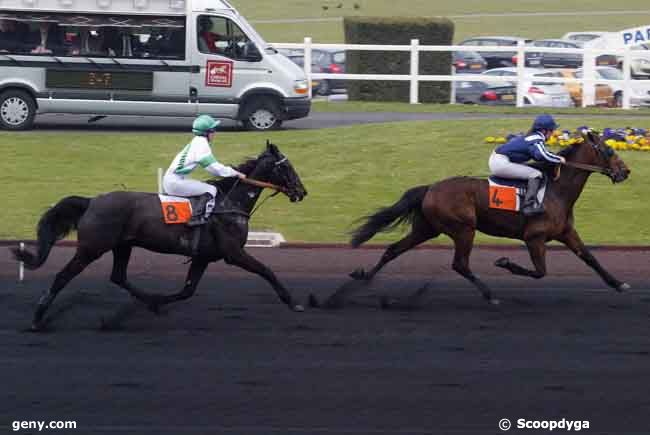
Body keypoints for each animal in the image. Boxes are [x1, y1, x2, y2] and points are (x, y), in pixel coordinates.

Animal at [12, 143, 306, 330]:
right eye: (287, 167)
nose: (302, 192)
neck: (229, 203)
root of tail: (91, 201)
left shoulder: (204, 257)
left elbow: (187, 290)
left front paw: (156, 303)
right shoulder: (234, 253)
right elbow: (267, 271)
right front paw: (293, 303)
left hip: (122, 246)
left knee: (118, 276)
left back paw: (143, 303)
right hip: (91, 248)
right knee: (63, 276)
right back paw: (37, 319)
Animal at [346, 129, 632, 306]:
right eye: (608, 151)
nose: (626, 172)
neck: (556, 189)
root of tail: (430, 188)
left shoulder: (566, 233)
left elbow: (590, 258)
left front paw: (619, 284)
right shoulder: (534, 237)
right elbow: (540, 272)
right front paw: (505, 263)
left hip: (426, 229)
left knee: (392, 250)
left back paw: (364, 278)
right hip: (463, 229)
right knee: (460, 264)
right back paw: (489, 294)